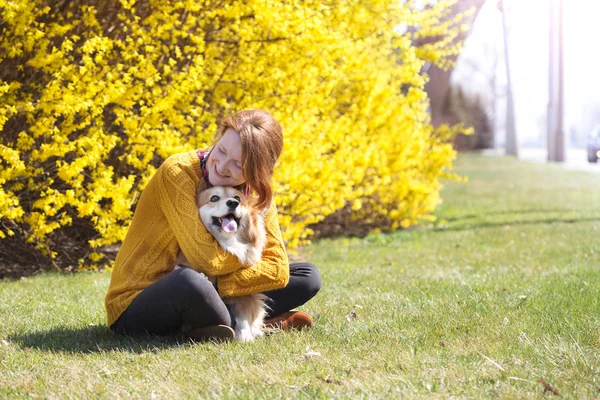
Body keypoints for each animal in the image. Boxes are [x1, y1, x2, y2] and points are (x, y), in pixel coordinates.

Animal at [173, 186, 268, 342]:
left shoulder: (245, 290)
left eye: (237, 198)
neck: (227, 242)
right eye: (214, 198)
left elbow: (243, 315)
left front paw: (244, 336)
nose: (233, 203)